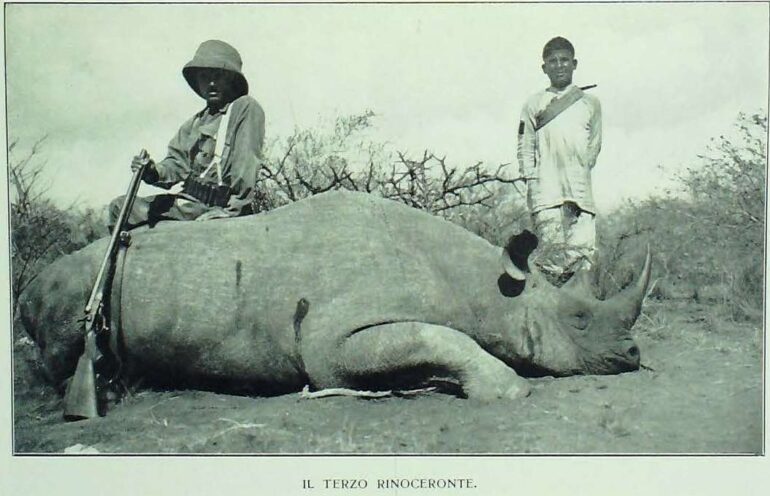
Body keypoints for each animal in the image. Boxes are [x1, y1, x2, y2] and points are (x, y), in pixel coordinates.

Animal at [17, 191, 650, 403]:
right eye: (578, 319)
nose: (633, 355)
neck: (486, 285)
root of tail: (27, 286)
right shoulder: (332, 341)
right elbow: (437, 336)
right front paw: (507, 390)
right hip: (66, 287)